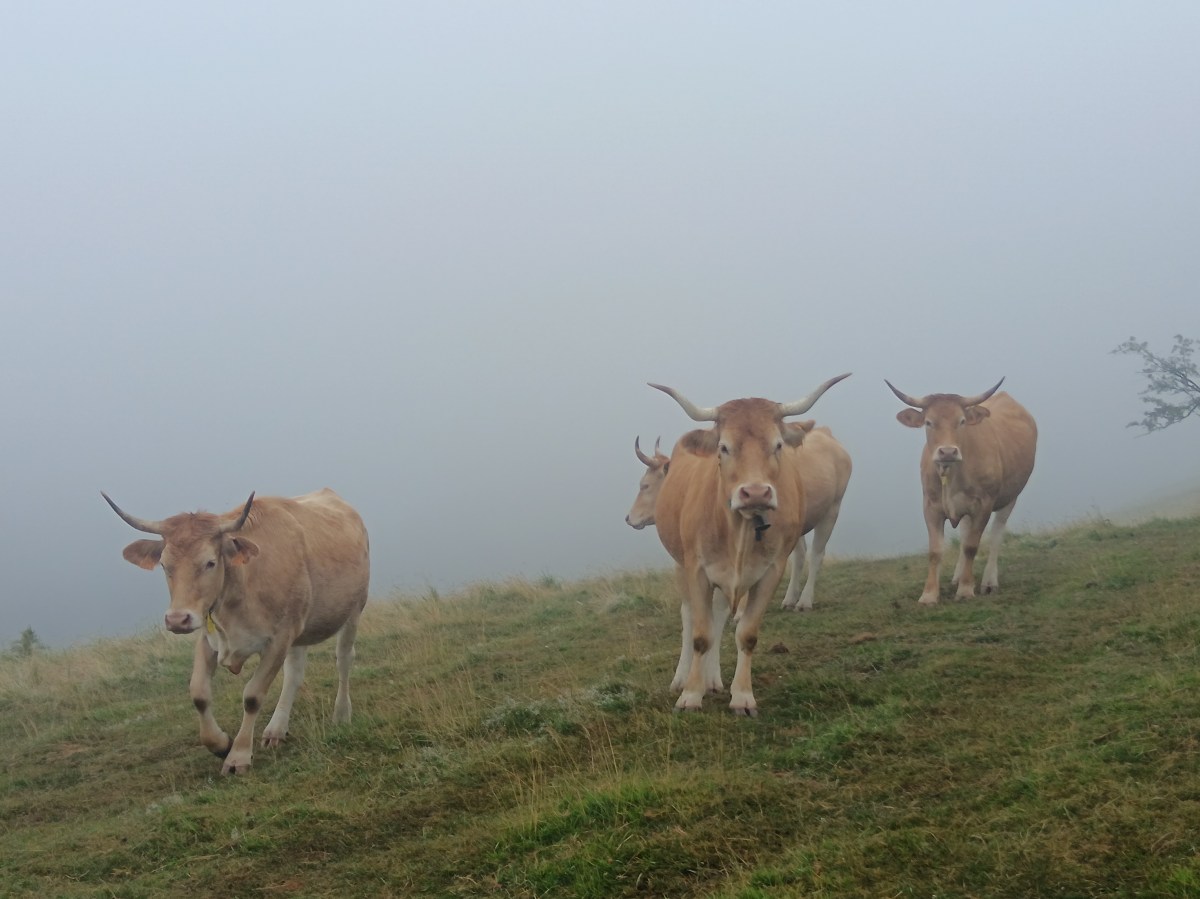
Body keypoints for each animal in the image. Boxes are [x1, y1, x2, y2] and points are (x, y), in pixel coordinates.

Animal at [102, 488, 370, 774]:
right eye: (164, 565)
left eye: (210, 563)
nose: (177, 619)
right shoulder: (208, 637)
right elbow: (199, 694)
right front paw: (220, 744)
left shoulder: (279, 639)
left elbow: (252, 696)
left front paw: (238, 756)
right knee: (295, 673)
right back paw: (276, 730)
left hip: (353, 610)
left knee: (344, 659)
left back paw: (341, 713)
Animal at [650, 373, 850, 715]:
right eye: (724, 447)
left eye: (778, 444)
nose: (756, 492)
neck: (739, 532)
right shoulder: (697, 569)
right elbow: (700, 635)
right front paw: (690, 695)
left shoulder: (770, 571)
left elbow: (746, 634)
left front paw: (741, 696)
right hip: (681, 563)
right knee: (690, 616)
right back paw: (685, 677)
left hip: (832, 512)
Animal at [885, 378, 1037, 605]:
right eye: (928, 422)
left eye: (962, 421)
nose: (948, 451)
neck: (952, 476)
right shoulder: (931, 506)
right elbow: (936, 551)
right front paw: (929, 594)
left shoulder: (984, 504)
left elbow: (971, 547)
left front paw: (966, 589)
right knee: (965, 532)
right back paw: (957, 577)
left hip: (1011, 496)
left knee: (996, 534)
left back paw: (988, 582)